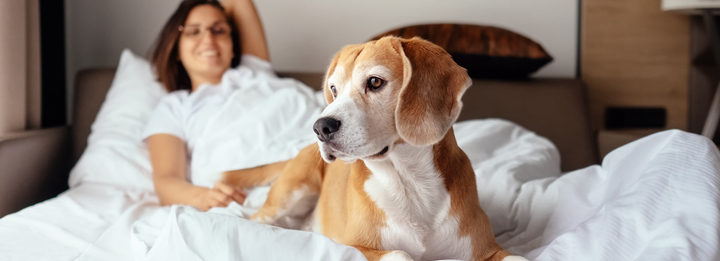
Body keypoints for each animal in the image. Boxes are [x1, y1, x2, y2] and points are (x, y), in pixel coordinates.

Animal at [222, 35, 524, 260]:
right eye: (334, 89)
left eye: (375, 82)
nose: (320, 127)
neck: (410, 183)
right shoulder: (352, 245)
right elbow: (400, 254)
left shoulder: (487, 250)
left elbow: (517, 257)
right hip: (290, 194)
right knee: (252, 218)